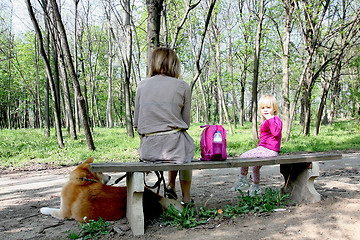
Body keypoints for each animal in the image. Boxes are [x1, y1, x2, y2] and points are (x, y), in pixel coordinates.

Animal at [40, 157, 180, 222]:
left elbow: (50, 210)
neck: (83, 181)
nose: (111, 176)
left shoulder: (63, 213)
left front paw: (43, 209)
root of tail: (154, 195)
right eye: (102, 172)